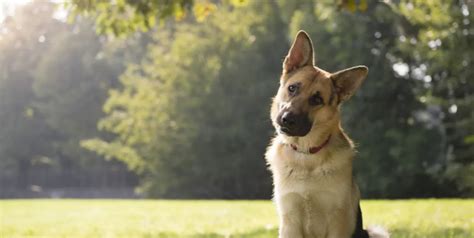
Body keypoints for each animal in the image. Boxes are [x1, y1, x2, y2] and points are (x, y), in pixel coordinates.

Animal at [266, 30, 388, 238]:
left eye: (317, 100)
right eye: (292, 88)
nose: (287, 119)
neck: (306, 155)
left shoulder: (337, 222)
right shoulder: (290, 222)